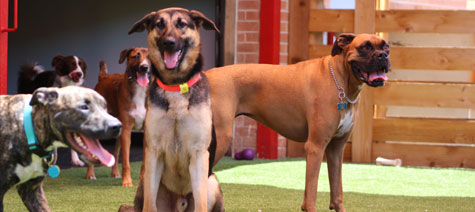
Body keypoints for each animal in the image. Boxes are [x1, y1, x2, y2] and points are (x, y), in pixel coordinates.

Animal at [86, 47, 151, 186]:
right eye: (135, 56)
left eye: (149, 57)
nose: (144, 67)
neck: (139, 89)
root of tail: (103, 77)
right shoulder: (126, 130)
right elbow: (126, 161)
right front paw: (127, 182)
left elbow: (144, 162)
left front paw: (143, 180)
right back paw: (90, 174)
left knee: (115, 152)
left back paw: (115, 173)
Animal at [205, 33, 390, 212]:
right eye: (365, 47)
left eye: (386, 47)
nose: (383, 55)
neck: (340, 80)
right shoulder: (315, 147)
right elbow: (312, 191)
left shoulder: (336, 149)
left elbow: (337, 189)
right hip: (219, 141)